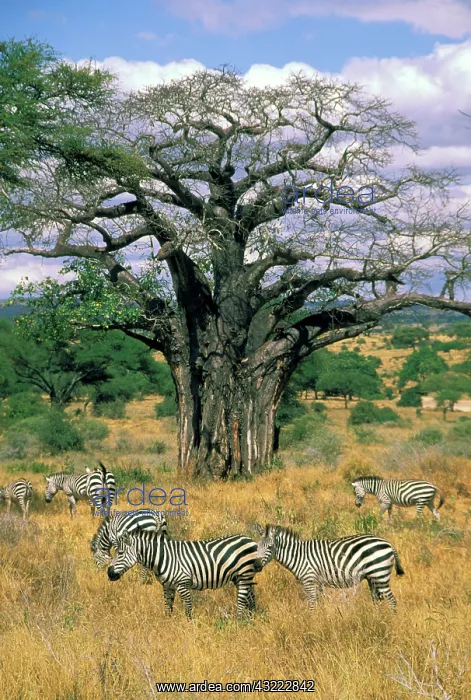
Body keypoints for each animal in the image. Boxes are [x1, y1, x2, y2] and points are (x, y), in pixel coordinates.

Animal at [107, 531, 259, 619]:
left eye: (120, 553)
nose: (109, 574)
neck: (163, 557)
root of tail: (250, 539)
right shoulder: (167, 586)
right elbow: (168, 609)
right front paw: (167, 627)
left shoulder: (183, 584)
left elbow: (188, 610)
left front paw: (190, 627)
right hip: (241, 577)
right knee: (250, 598)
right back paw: (251, 619)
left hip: (243, 575)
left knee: (241, 601)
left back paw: (239, 622)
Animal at [254, 525, 404, 612]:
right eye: (257, 546)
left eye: (270, 547)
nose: (256, 566)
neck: (298, 556)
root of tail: (388, 544)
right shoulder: (318, 583)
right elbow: (319, 602)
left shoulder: (309, 580)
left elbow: (311, 604)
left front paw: (311, 623)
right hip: (372, 578)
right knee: (377, 600)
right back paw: (377, 619)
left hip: (380, 574)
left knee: (392, 600)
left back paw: (390, 621)